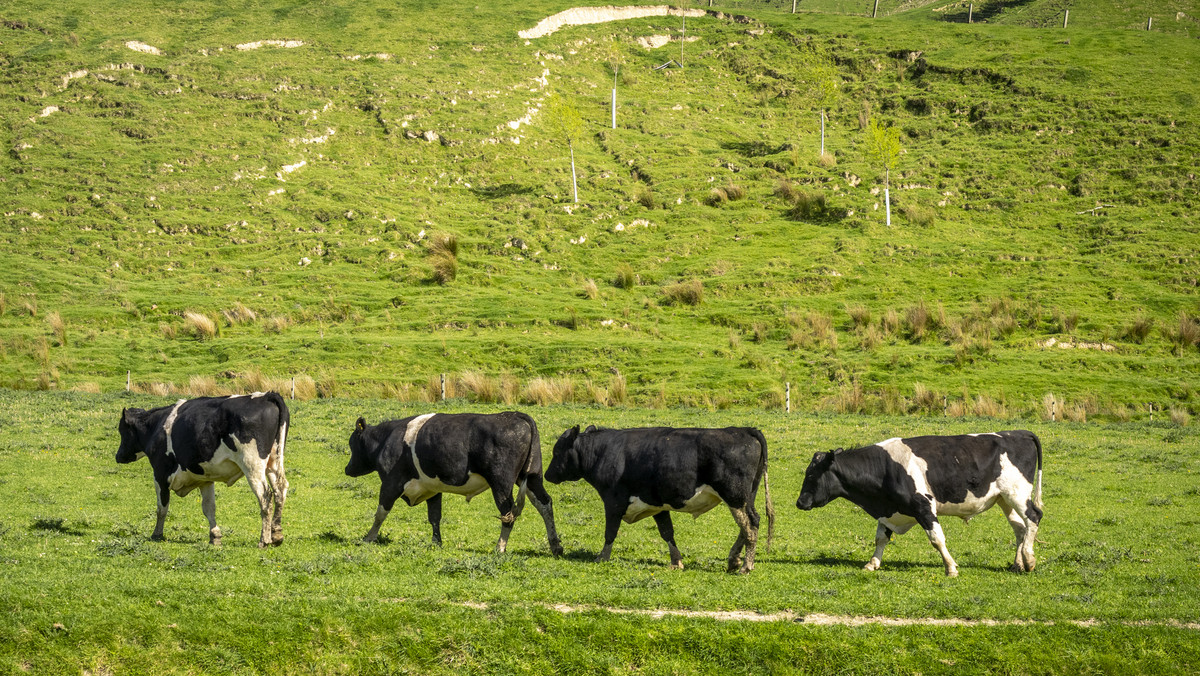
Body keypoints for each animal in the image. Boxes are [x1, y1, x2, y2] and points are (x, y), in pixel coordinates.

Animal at [114, 393, 290, 547]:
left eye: (122, 430)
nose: (118, 456)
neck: (155, 428)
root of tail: (266, 395)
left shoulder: (160, 474)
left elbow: (162, 507)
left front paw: (157, 534)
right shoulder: (205, 479)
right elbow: (209, 508)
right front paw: (215, 536)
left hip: (252, 465)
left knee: (265, 496)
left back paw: (264, 540)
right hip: (274, 462)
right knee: (280, 490)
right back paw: (277, 535)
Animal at [343, 413, 556, 554]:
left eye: (352, 444)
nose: (347, 469)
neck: (386, 440)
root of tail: (515, 415)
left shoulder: (390, 483)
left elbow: (380, 512)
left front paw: (369, 537)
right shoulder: (432, 488)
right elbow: (434, 517)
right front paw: (436, 542)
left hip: (501, 483)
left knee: (508, 512)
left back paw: (500, 547)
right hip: (531, 477)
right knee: (544, 503)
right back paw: (556, 546)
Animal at [547, 425, 772, 573]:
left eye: (557, 451)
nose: (547, 475)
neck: (603, 452)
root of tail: (743, 429)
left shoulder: (613, 502)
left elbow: (610, 532)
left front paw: (602, 557)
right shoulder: (657, 504)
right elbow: (667, 532)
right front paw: (676, 561)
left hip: (735, 497)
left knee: (750, 525)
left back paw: (746, 566)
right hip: (746, 497)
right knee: (749, 524)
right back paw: (734, 560)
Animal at [796, 434, 1041, 576]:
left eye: (811, 475)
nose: (799, 502)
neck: (885, 469)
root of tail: (1019, 433)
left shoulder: (923, 506)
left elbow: (937, 539)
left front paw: (950, 567)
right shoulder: (889, 510)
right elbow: (881, 538)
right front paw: (872, 563)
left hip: (1017, 493)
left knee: (1034, 517)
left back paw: (1029, 560)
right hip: (1003, 499)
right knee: (1020, 528)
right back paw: (1018, 564)